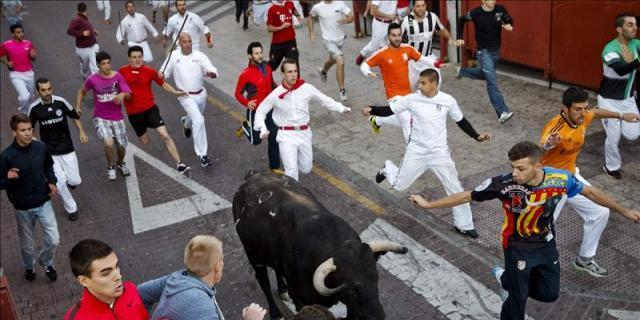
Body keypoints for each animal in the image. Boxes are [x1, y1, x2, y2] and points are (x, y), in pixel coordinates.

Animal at [232, 171, 408, 318]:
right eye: (352, 292)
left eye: (376, 279)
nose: (378, 315)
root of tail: (252, 176)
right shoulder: (301, 299)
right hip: (254, 256)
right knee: (264, 283)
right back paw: (276, 313)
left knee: (276, 269)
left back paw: (283, 291)